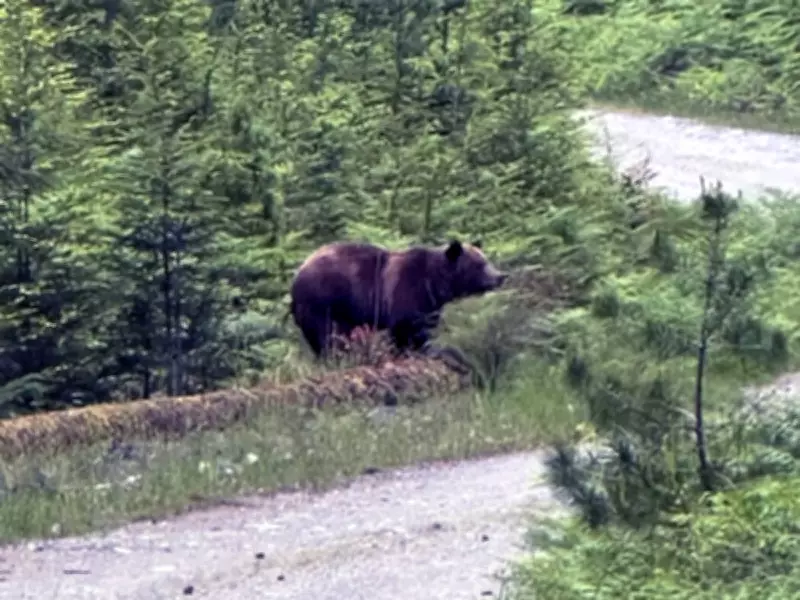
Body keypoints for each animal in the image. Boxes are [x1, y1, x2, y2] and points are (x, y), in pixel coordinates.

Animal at [289, 239, 507, 358]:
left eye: (486, 260)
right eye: (479, 264)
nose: (500, 276)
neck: (435, 284)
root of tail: (298, 273)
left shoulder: (430, 306)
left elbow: (424, 328)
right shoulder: (406, 292)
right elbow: (406, 329)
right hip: (323, 302)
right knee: (328, 335)